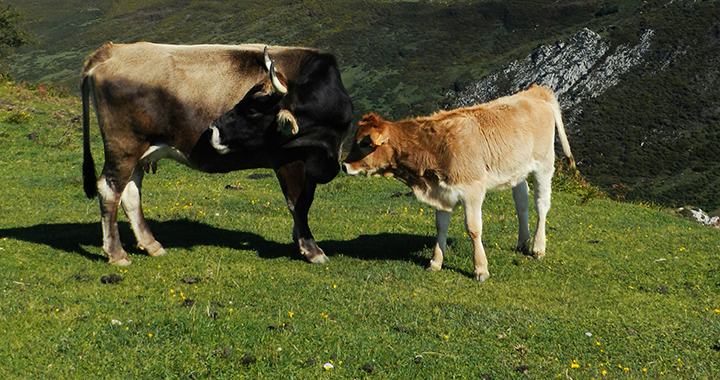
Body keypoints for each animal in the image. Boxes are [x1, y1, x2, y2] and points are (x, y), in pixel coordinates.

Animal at [83, 43, 352, 266]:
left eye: (254, 108)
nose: (213, 129)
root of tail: (111, 50)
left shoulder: (312, 164)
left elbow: (306, 201)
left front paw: (299, 241)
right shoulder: (288, 160)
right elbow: (298, 204)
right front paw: (312, 250)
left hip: (138, 154)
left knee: (130, 193)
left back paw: (151, 245)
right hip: (124, 148)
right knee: (110, 190)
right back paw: (116, 253)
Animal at [344, 86, 572, 282]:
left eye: (364, 143)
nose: (344, 165)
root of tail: (535, 92)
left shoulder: (473, 190)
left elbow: (473, 228)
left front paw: (480, 269)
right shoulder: (441, 191)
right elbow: (440, 226)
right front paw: (435, 262)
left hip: (544, 163)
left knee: (541, 203)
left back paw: (538, 247)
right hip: (517, 169)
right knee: (521, 200)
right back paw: (522, 242)